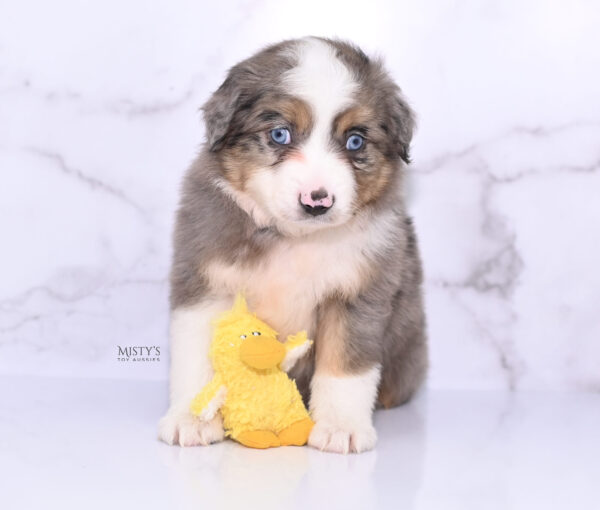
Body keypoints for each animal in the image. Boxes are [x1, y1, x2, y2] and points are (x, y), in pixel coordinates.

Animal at [159, 38, 428, 454]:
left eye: (355, 140)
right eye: (279, 135)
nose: (317, 201)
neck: (293, 238)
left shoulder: (358, 291)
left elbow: (345, 365)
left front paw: (340, 427)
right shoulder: (204, 279)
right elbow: (197, 353)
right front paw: (192, 419)